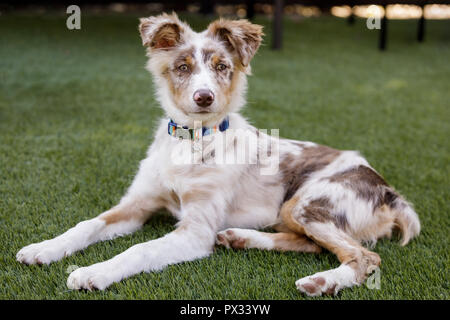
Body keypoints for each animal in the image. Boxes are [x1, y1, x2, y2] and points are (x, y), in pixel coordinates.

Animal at [15, 13, 420, 298]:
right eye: (182, 67)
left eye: (222, 67)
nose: (204, 97)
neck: (192, 141)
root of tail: (391, 193)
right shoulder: (137, 204)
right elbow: (86, 225)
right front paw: (43, 248)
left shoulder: (195, 231)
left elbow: (139, 250)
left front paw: (93, 272)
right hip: (295, 210)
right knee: (309, 244)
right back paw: (241, 238)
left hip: (308, 201)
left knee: (364, 257)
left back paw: (322, 282)